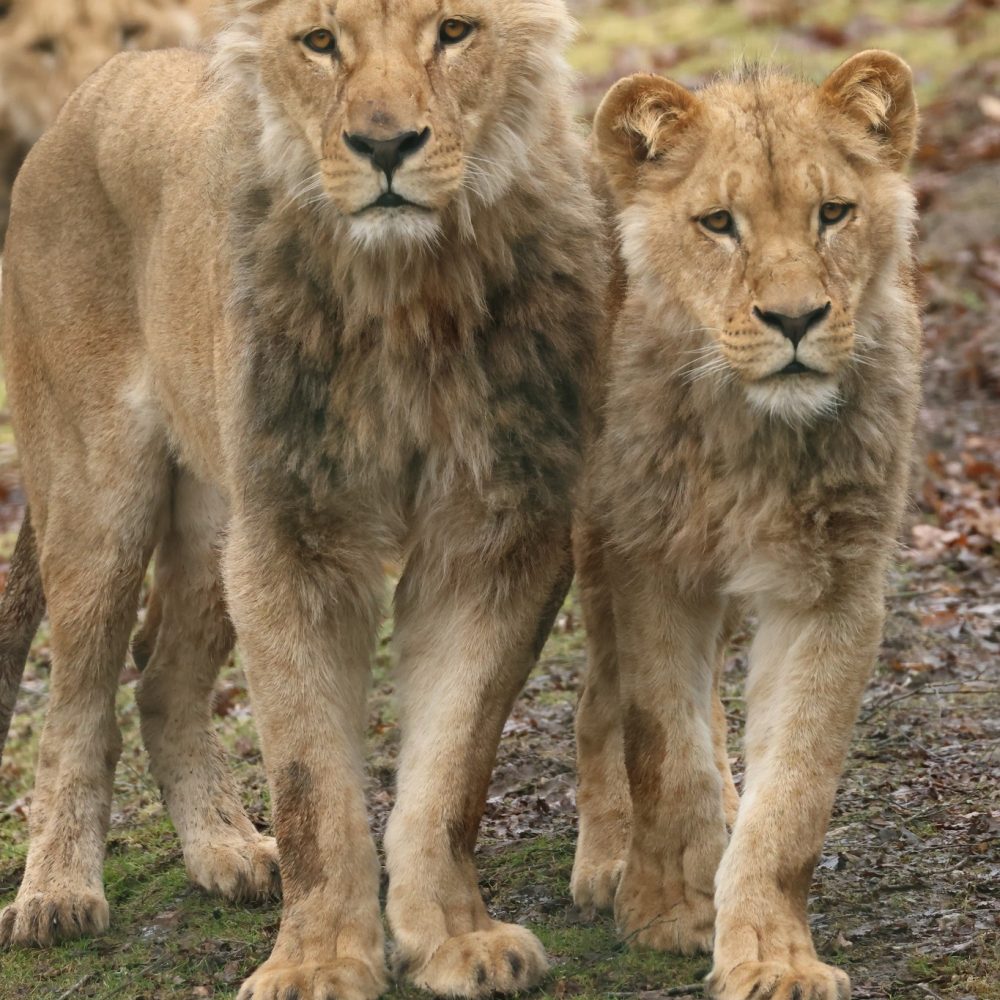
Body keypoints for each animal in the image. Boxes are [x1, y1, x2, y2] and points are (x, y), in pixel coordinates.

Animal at [0, 1, 603, 998]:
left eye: (455, 31)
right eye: (321, 42)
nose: (385, 144)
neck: (408, 299)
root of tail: (89, 93)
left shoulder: (496, 531)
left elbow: (452, 769)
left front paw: (456, 940)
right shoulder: (291, 530)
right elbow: (311, 781)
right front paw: (318, 962)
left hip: (214, 516)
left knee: (162, 679)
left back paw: (228, 851)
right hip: (98, 494)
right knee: (78, 704)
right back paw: (56, 895)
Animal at [569, 52, 921, 1000]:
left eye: (833, 212)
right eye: (718, 224)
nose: (795, 320)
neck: (752, 432)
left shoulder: (834, 587)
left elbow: (794, 794)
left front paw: (770, 954)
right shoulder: (651, 563)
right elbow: (664, 749)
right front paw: (671, 913)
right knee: (601, 701)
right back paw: (608, 858)